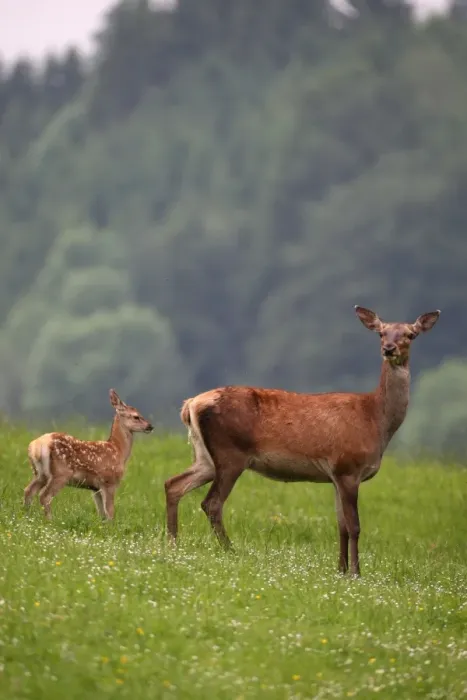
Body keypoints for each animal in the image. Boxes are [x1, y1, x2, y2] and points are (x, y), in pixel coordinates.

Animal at [24, 389, 153, 520]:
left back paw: (27, 516)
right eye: (136, 416)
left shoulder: (95, 488)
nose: (150, 426)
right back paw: (50, 520)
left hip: (40, 473)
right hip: (61, 473)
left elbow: (102, 514)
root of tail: (37, 445)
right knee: (44, 496)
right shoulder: (109, 481)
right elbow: (110, 512)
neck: (118, 450)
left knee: (28, 491)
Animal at [164, 306, 440, 576]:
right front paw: (356, 573)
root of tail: (191, 404)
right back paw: (229, 550)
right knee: (211, 502)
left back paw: (173, 543)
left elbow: (340, 524)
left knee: (173, 484)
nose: (389, 349)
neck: (375, 421)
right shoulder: (348, 467)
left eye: (410, 334)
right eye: (381, 333)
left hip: (205, 456)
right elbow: (355, 526)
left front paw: (340, 570)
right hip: (230, 452)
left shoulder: (335, 476)